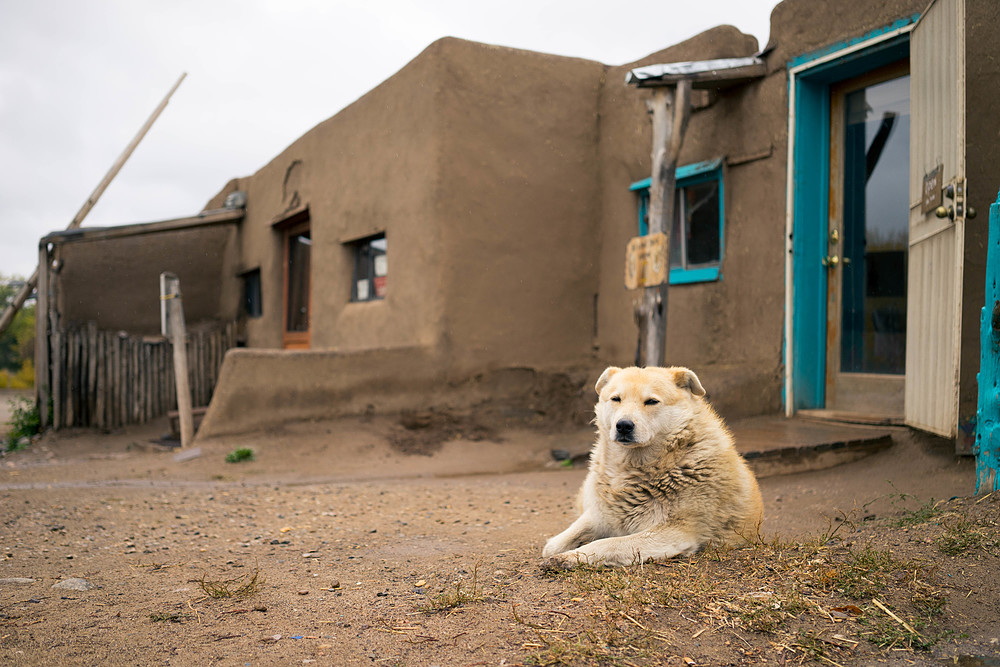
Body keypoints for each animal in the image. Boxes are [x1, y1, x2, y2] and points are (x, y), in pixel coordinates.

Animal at [544, 366, 760, 568]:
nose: (623, 426)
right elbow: (552, 545)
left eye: (651, 401)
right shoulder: (602, 514)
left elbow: (608, 543)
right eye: (616, 399)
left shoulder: (674, 532)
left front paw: (570, 557)